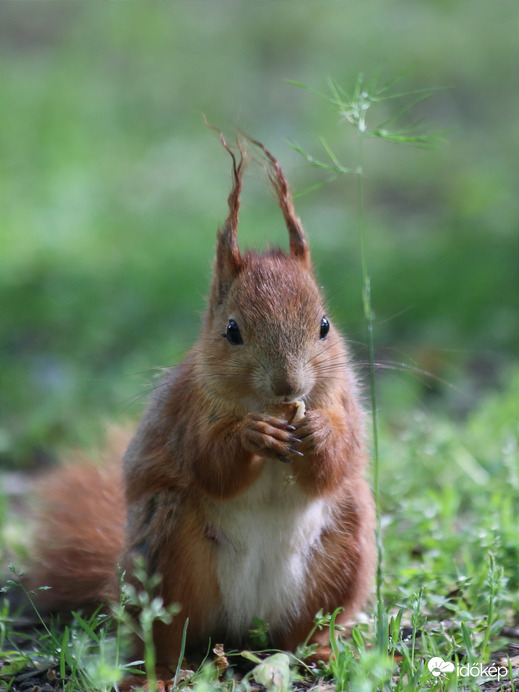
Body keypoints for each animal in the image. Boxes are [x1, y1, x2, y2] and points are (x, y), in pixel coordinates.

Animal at [27, 134, 374, 676]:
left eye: (324, 325)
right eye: (231, 330)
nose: (289, 386)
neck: (263, 404)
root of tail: (244, 625)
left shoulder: (343, 403)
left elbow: (333, 464)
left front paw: (317, 433)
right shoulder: (188, 412)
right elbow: (211, 464)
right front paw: (253, 436)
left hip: (343, 554)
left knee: (302, 632)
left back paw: (314, 652)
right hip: (169, 553)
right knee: (165, 635)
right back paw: (164, 673)